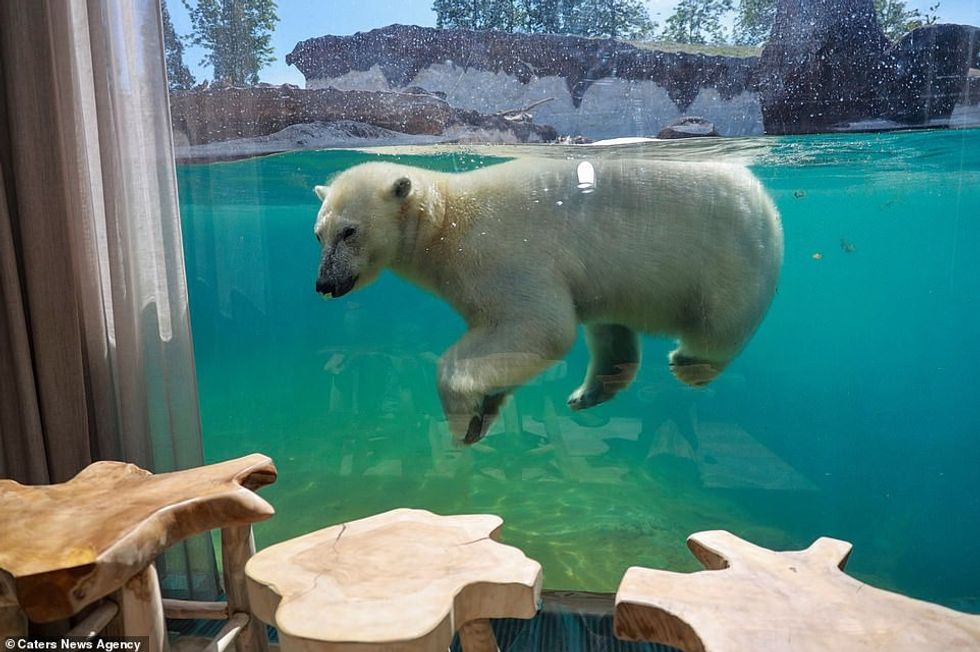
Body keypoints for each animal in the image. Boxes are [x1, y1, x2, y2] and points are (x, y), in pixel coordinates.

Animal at [313, 158, 783, 444]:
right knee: (609, 326)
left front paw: (463, 422)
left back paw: (689, 363)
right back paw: (589, 392)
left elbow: (540, 327)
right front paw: (487, 409)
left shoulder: (503, 253)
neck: (446, 220)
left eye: (349, 231)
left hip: (728, 257)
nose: (323, 283)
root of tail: (765, 202)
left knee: (720, 326)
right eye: (319, 234)